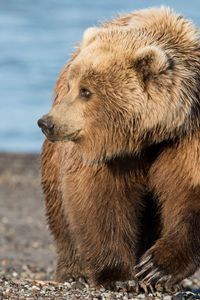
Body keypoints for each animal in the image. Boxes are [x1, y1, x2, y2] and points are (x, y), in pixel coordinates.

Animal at [37, 7, 200, 288]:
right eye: (71, 85)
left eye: (86, 91)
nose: (47, 122)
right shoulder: (108, 153)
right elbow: (100, 197)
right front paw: (119, 276)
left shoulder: (187, 136)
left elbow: (189, 189)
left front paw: (155, 268)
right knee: (59, 209)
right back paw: (75, 271)